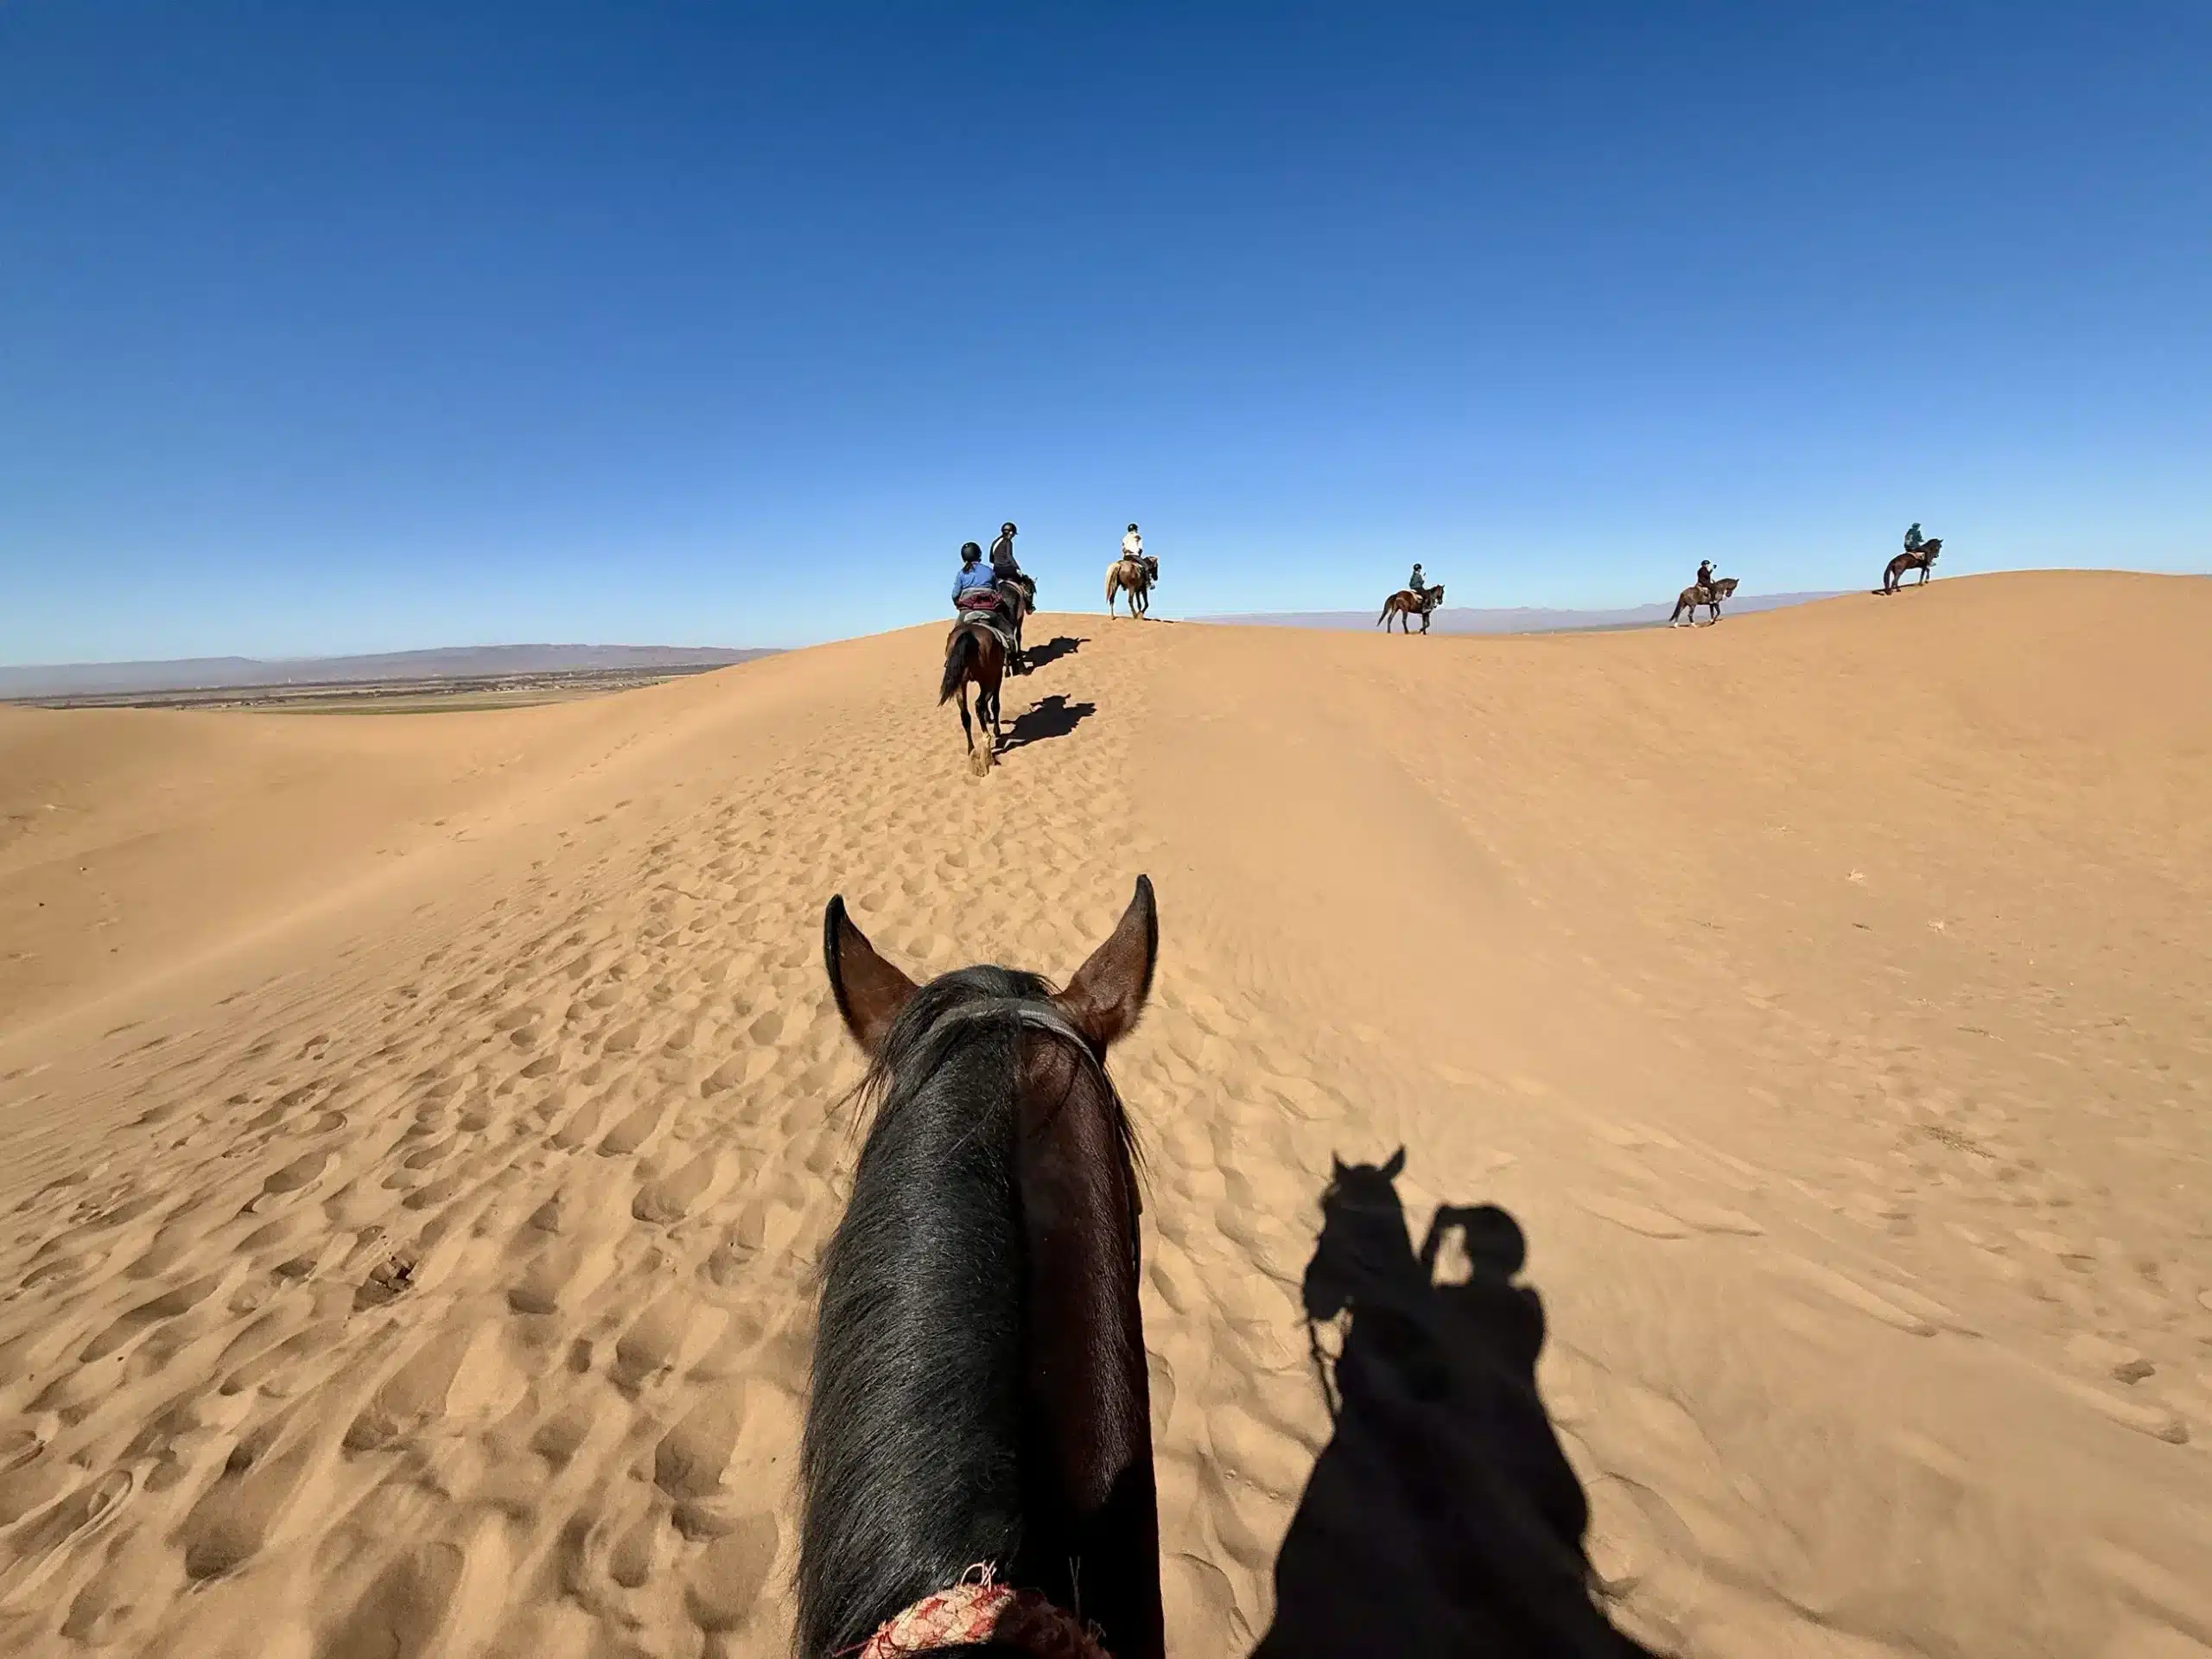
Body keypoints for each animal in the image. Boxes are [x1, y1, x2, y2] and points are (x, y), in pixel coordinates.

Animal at [940, 615, 1008, 777]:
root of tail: (968, 633)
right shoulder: (997, 676)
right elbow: (995, 704)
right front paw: (997, 730)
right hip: (987, 678)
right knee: (979, 704)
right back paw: (986, 740)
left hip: (960, 683)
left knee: (965, 715)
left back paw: (971, 751)